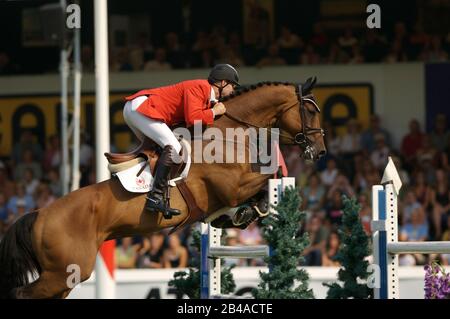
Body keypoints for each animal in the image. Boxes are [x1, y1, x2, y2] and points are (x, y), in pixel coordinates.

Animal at [0, 79, 324, 298]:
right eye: (309, 111)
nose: (319, 152)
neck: (227, 134)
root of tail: (39, 215)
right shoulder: (233, 186)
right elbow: (270, 178)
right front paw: (263, 204)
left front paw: (243, 215)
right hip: (66, 270)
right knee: (21, 293)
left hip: (64, 276)